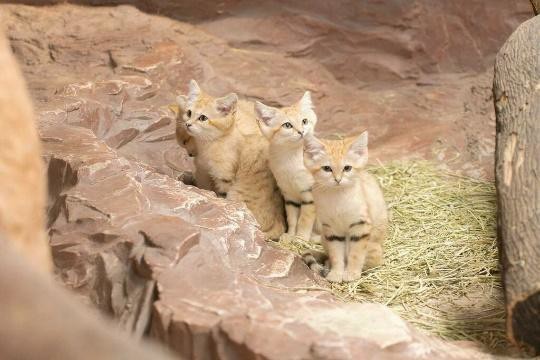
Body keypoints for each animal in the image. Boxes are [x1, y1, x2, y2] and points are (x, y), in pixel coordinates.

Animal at [177, 80, 286, 240]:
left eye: (203, 118)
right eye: (189, 113)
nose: (187, 124)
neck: (209, 143)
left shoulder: (225, 177)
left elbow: (221, 196)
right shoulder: (206, 171)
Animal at [255, 91, 318, 242]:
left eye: (304, 121)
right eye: (287, 125)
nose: (301, 132)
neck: (290, 159)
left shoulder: (309, 195)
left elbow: (304, 220)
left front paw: (301, 239)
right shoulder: (289, 197)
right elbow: (292, 219)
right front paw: (290, 236)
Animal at [302, 131, 386, 282]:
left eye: (347, 168)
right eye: (327, 168)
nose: (338, 179)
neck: (338, 196)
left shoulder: (361, 225)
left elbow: (356, 254)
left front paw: (351, 274)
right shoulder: (331, 230)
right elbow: (336, 255)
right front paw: (336, 274)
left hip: (374, 250)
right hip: (324, 238)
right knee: (328, 258)